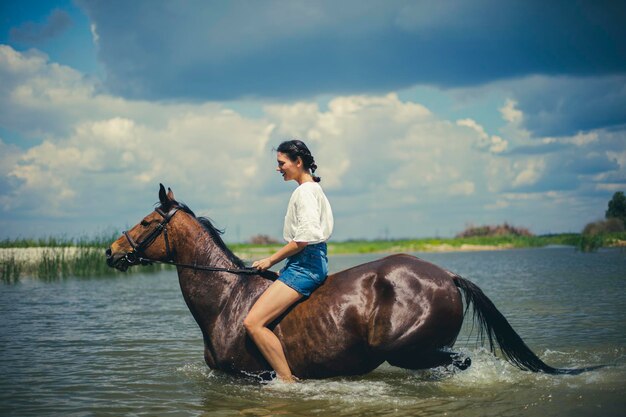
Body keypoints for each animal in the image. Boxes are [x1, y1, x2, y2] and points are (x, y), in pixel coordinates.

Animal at [107, 184, 596, 378]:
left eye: (147, 221)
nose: (110, 251)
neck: (226, 300)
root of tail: (448, 274)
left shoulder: (249, 376)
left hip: (407, 349)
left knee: (458, 363)